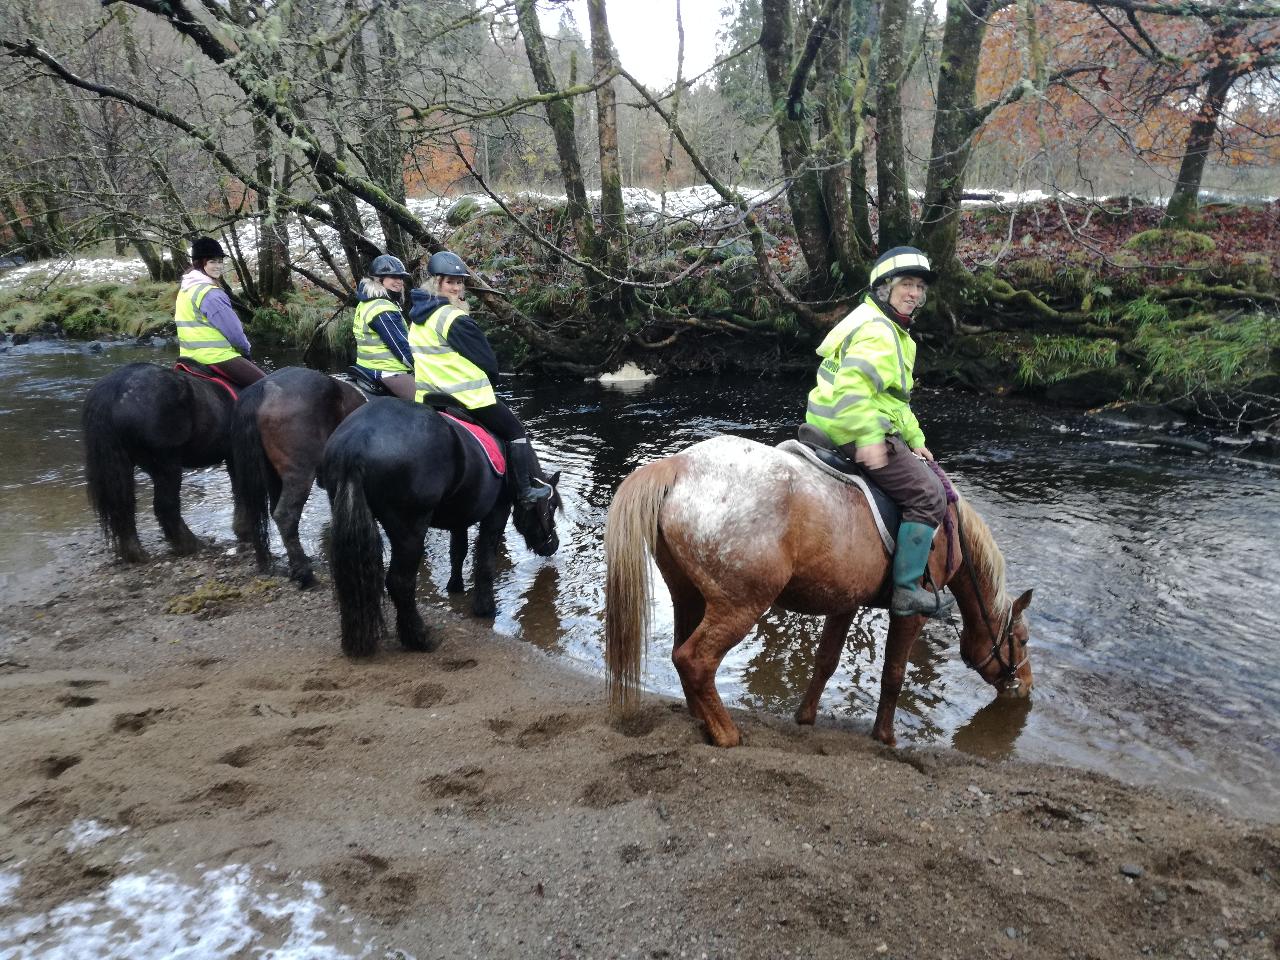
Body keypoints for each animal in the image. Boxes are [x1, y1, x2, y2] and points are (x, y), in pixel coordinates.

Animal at [82, 366, 235, 563]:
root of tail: (114, 388)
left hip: (123, 466)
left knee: (124, 505)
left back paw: (135, 553)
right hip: (167, 464)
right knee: (166, 505)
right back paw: (190, 545)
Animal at [325, 399, 560, 660]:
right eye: (551, 506)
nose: (554, 545)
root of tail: (357, 442)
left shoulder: (460, 516)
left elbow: (458, 552)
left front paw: (455, 587)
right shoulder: (497, 512)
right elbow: (486, 561)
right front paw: (485, 607)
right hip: (410, 530)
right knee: (400, 582)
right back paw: (418, 638)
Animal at [604, 435, 1034, 752]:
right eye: (1022, 639)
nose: (1026, 686)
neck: (949, 530)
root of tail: (679, 465)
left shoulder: (845, 602)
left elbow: (825, 662)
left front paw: (806, 718)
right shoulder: (910, 615)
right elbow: (893, 675)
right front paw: (885, 737)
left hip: (689, 596)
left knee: (681, 653)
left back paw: (703, 720)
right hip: (739, 606)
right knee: (694, 660)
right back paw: (726, 734)